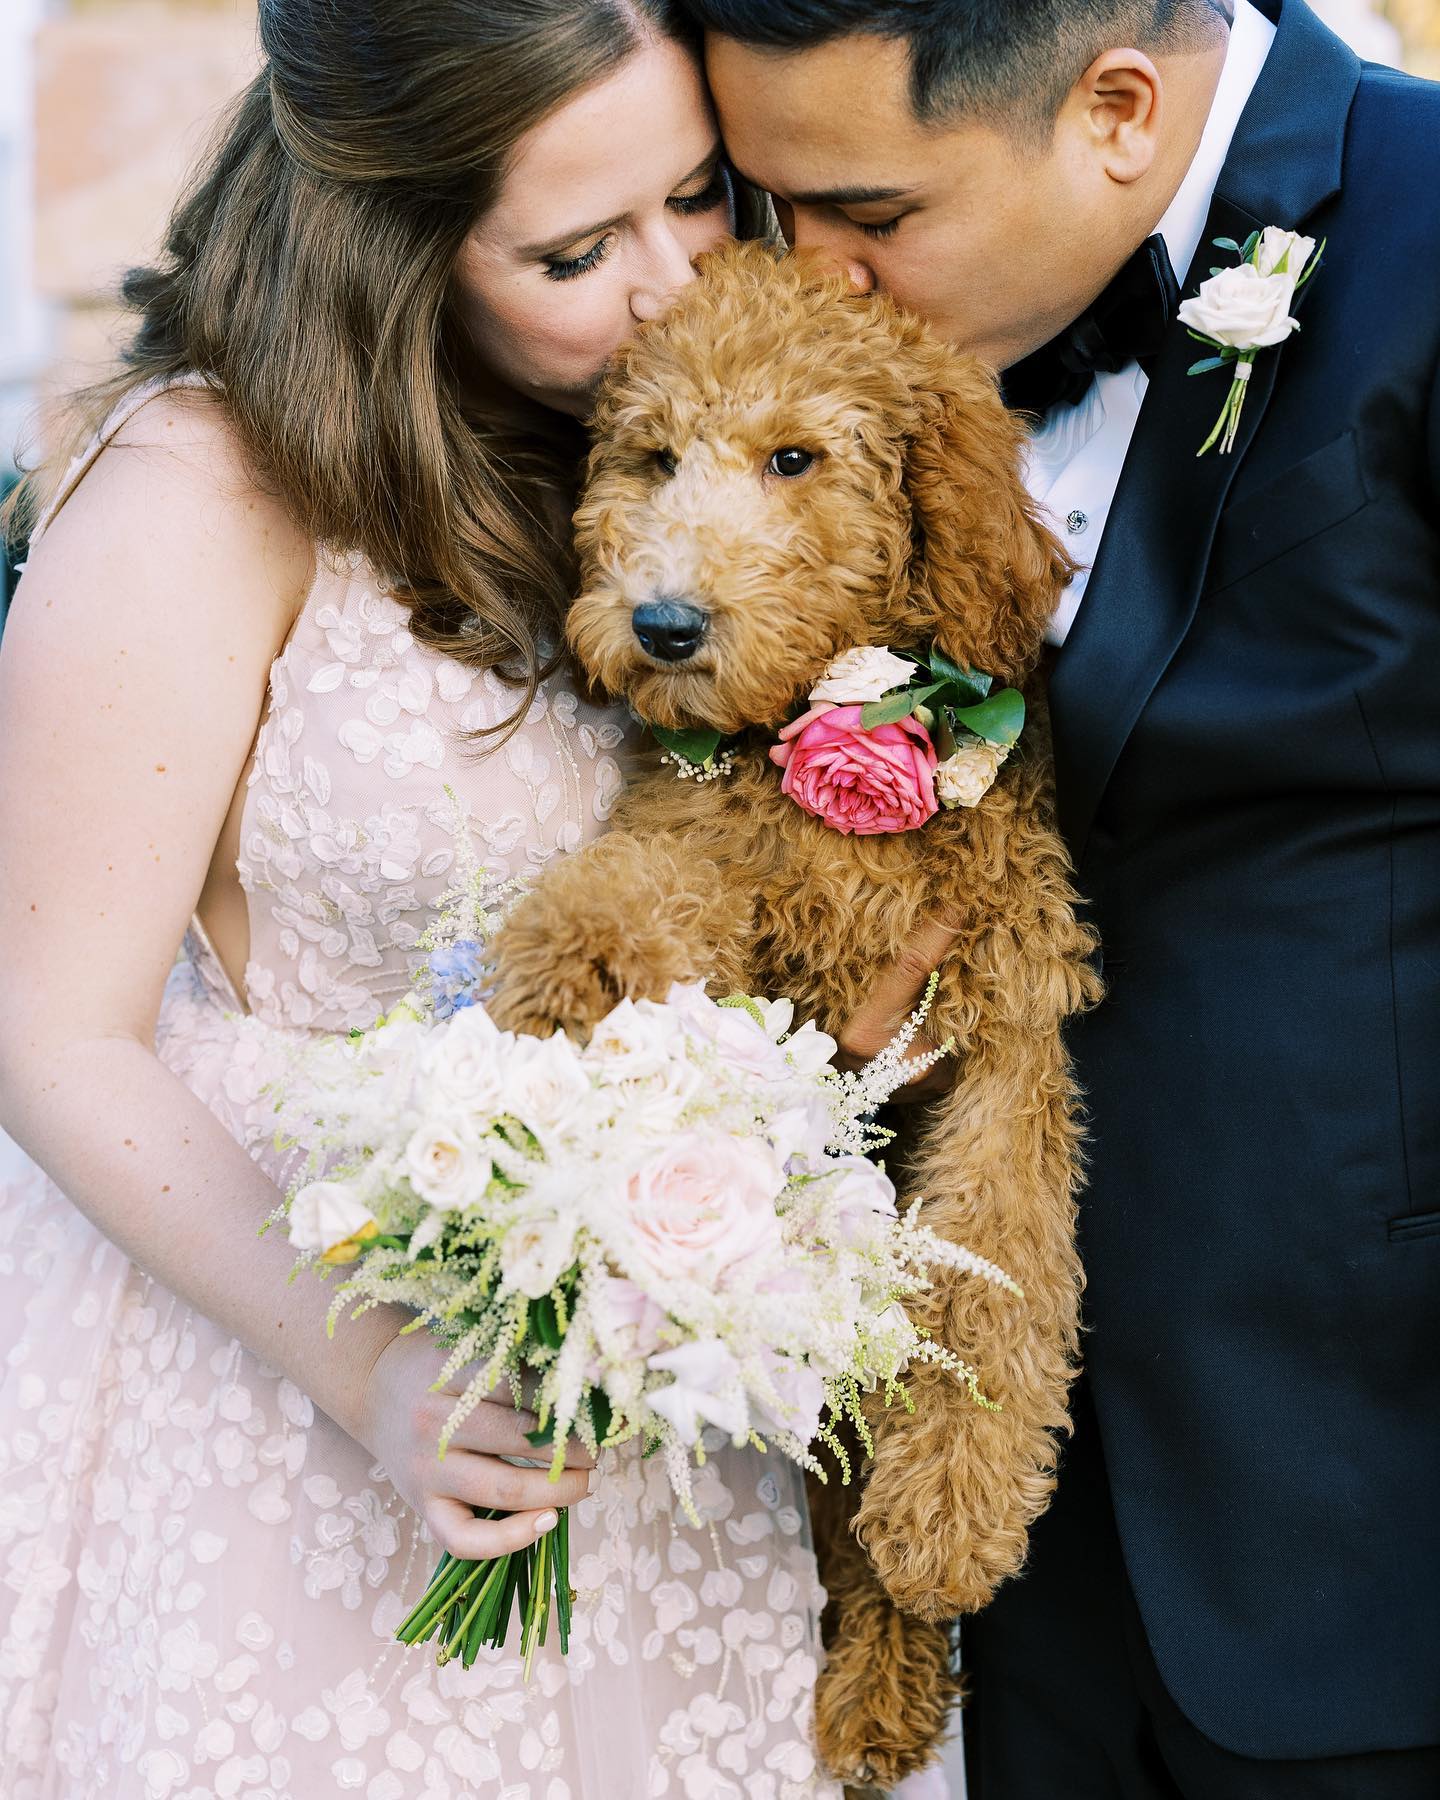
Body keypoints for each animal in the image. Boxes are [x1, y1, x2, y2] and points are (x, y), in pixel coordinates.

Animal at [486, 239, 1101, 1785]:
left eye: (794, 457)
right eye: (652, 458)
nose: (663, 627)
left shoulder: (1001, 1040)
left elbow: (990, 1285)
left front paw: (956, 1512)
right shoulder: (716, 858)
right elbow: (655, 882)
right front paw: (574, 963)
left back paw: (886, 1672)